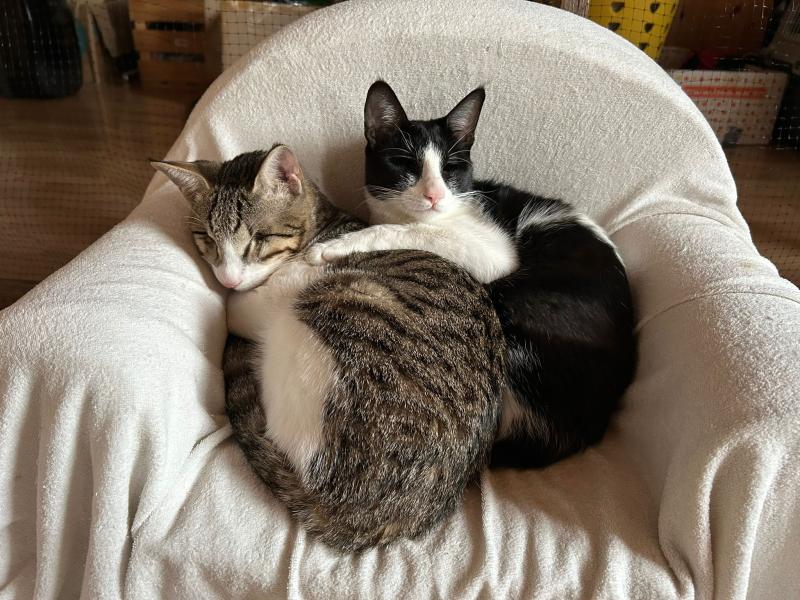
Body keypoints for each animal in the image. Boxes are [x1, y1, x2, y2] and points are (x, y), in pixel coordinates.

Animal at [151, 144, 506, 551]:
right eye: (206, 240)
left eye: (257, 240)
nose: (227, 280)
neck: (323, 226)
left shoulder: (266, 298)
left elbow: (234, 308)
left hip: (317, 317)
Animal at [308, 81, 637, 469]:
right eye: (405, 163)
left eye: (451, 168)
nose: (434, 195)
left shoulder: (493, 251)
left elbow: (412, 232)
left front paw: (335, 245)